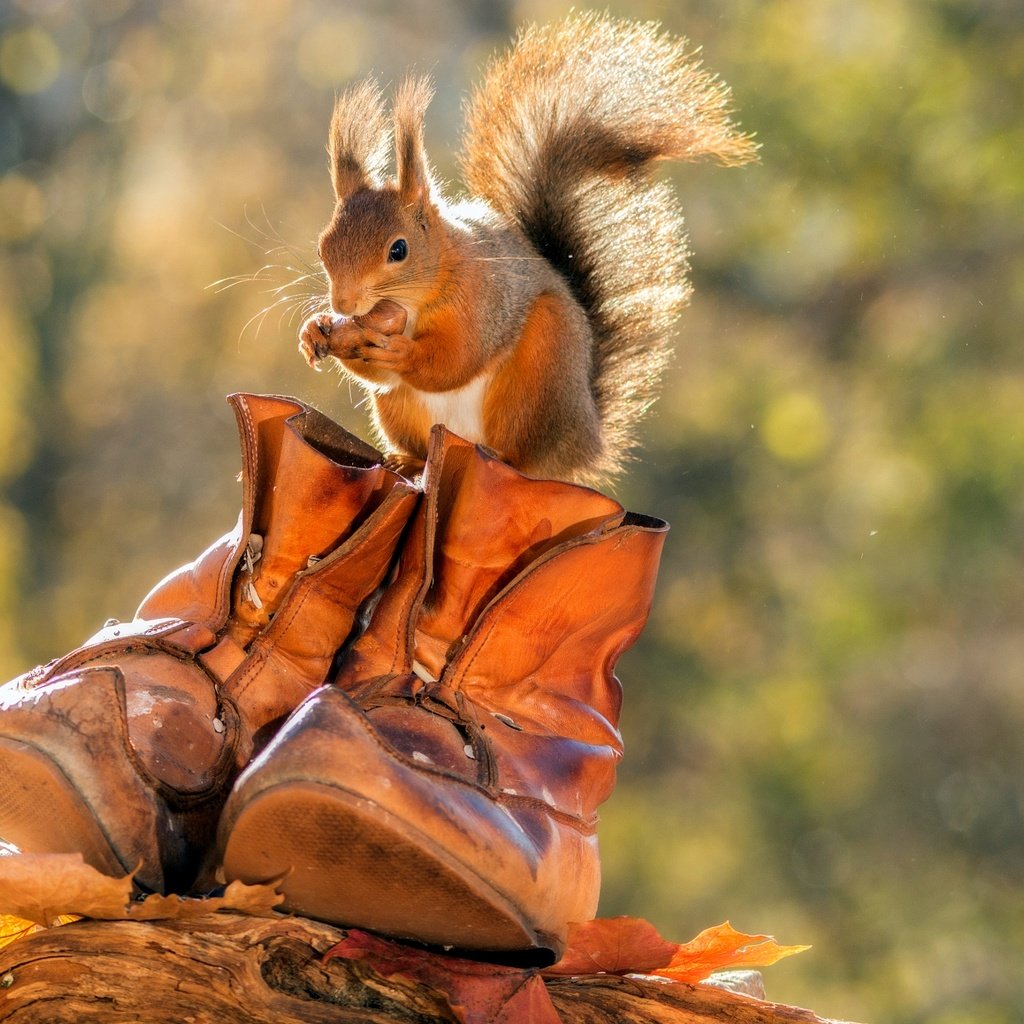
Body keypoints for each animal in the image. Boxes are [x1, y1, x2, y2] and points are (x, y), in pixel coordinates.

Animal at [296, 11, 753, 483]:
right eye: (323, 248)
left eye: (398, 250)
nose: (343, 304)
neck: (414, 300)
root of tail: (583, 442)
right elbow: (379, 375)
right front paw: (314, 330)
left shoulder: (483, 298)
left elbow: (456, 360)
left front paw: (403, 352)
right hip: (403, 412)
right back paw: (409, 459)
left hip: (537, 381)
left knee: (522, 456)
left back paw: (503, 457)